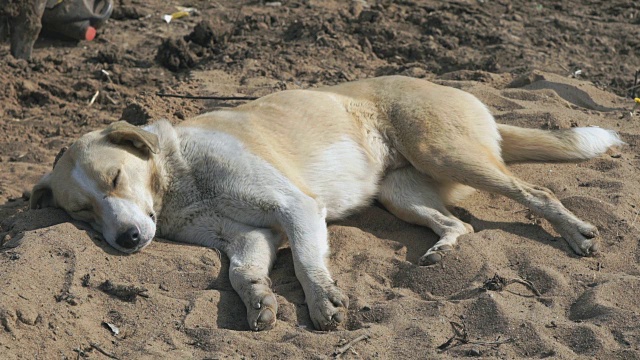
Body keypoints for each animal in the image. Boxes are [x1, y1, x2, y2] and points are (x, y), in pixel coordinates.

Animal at [28, 76, 620, 332]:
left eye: (115, 177)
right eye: (81, 213)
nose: (127, 240)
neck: (178, 178)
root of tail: (467, 95)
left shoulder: (295, 207)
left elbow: (309, 264)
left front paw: (323, 303)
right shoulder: (249, 235)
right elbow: (242, 274)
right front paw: (259, 302)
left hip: (446, 153)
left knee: (536, 193)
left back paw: (575, 233)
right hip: (398, 193)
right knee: (459, 224)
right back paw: (444, 251)